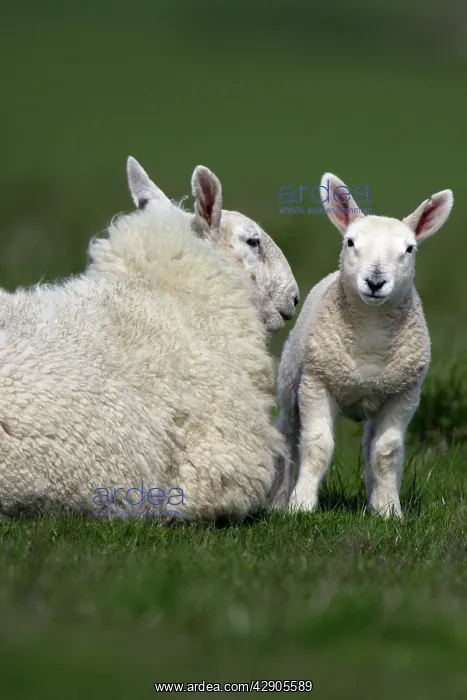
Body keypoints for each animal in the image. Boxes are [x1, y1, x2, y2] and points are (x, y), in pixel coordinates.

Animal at [275, 173, 453, 517]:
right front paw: (300, 506)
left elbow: (387, 451)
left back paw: (376, 500)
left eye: (409, 249)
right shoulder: (316, 382)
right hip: (291, 383)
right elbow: (317, 445)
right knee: (287, 436)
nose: (375, 282)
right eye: (350, 243)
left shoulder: (404, 393)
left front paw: (388, 510)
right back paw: (278, 500)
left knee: (372, 445)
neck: (370, 335)